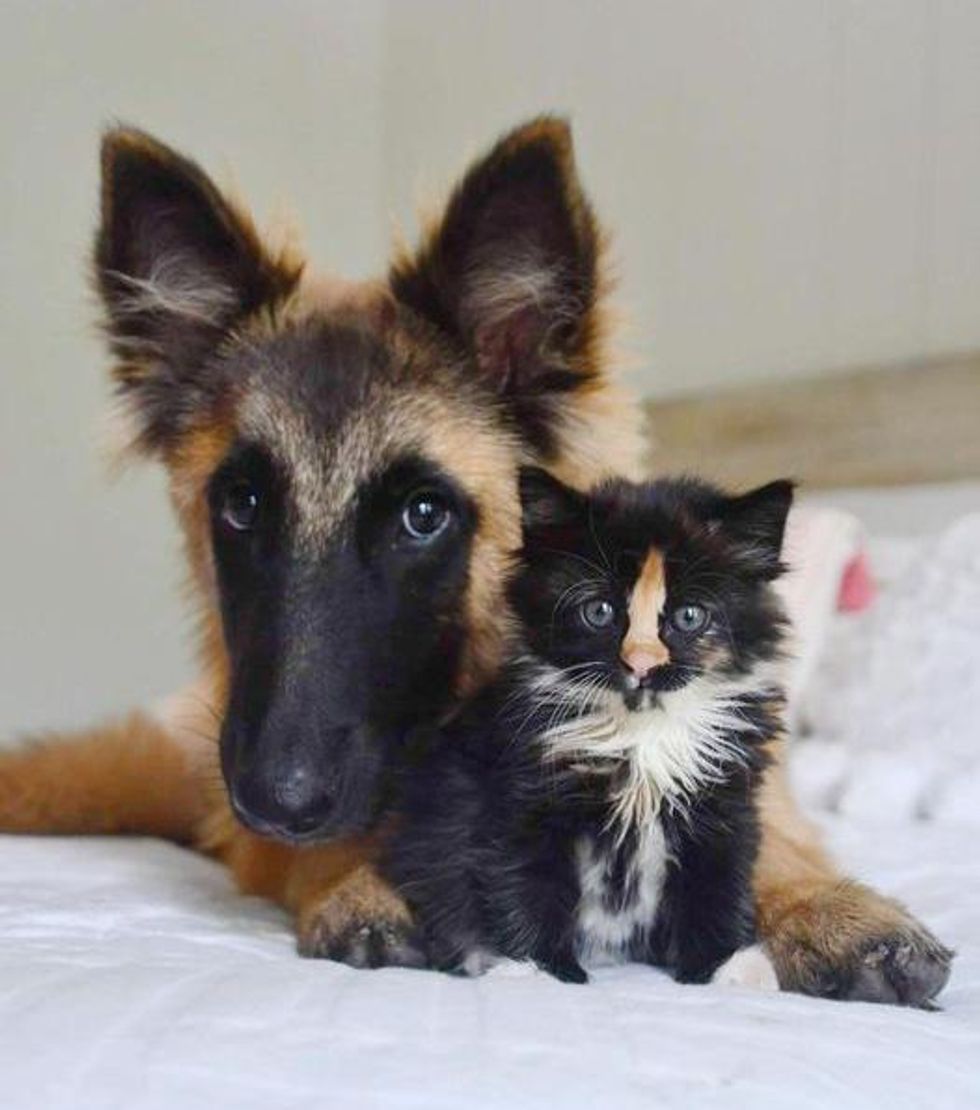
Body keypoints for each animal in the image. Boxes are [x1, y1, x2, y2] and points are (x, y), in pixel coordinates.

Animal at [379, 463, 794, 985]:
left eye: (689, 616)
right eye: (599, 611)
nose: (641, 663)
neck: (640, 735)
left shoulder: (723, 798)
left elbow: (718, 883)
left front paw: (724, 966)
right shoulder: (524, 795)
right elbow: (525, 884)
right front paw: (541, 969)